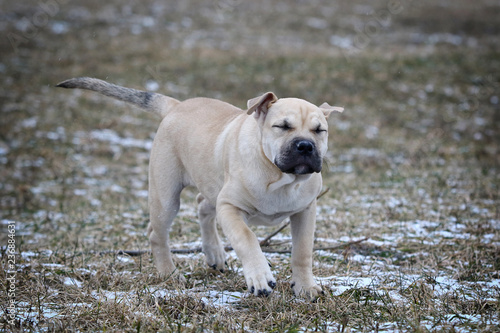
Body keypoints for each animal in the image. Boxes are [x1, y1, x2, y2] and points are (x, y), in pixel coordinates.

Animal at [55, 77, 344, 298]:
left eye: (320, 130)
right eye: (282, 126)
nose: (305, 146)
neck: (280, 177)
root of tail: (176, 105)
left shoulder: (306, 211)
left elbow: (302, 251)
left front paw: (305, 287)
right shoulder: (230, 207)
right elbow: (246, 238)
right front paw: (260, 276)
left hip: (210, 183)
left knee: (202, 205)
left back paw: (214, 252)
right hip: (166, 196)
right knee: (157, 233)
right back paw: (169, 273)